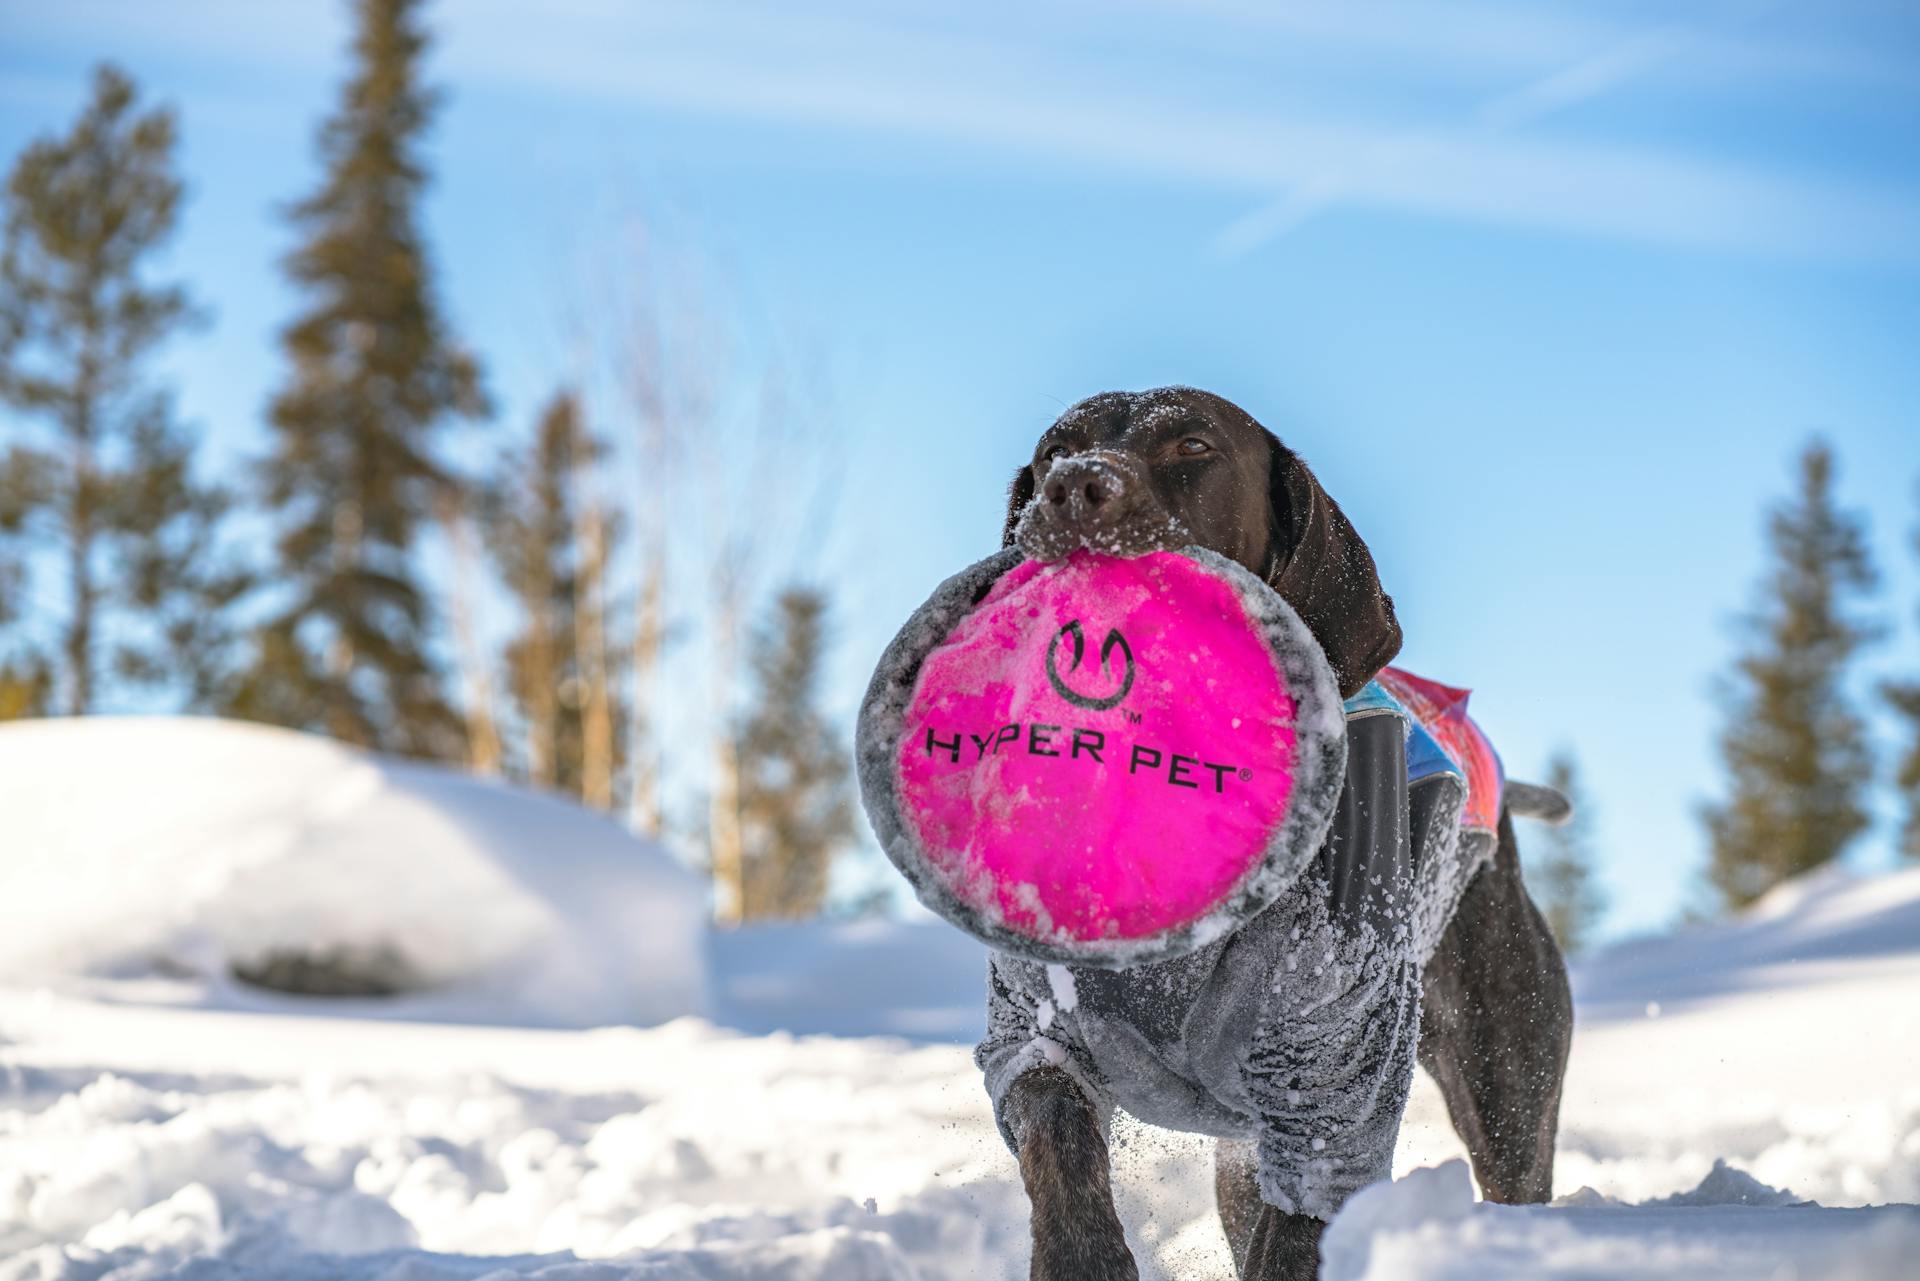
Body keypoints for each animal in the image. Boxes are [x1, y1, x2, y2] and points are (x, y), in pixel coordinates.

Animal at [990, 386, 1574, 1275]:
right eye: (1055, 448)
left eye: (1193, 445)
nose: (1073, 487)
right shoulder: (1033, 1029)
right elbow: (1058, 1138)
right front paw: (1082, 1259)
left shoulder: (1335, 1091)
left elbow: (1294, 1233)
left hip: (1507, 1091)